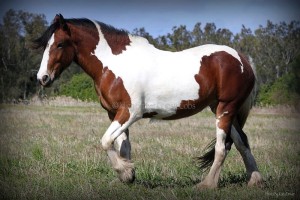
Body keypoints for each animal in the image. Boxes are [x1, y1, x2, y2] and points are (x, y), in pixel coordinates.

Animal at [33, 14, 262, 189]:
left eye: (60, 44)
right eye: (45, 45)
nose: (42, 78)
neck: (114, 64)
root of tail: (242, 59)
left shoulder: (130, 112)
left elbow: (105, 141)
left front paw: (125, 170)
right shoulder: (114, 113)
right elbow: (123, 146)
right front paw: (128, 176)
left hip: (226, 108)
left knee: (222, 148)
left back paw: (207, 185)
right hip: (223, 110)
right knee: (242, 142)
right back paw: (254, 180)